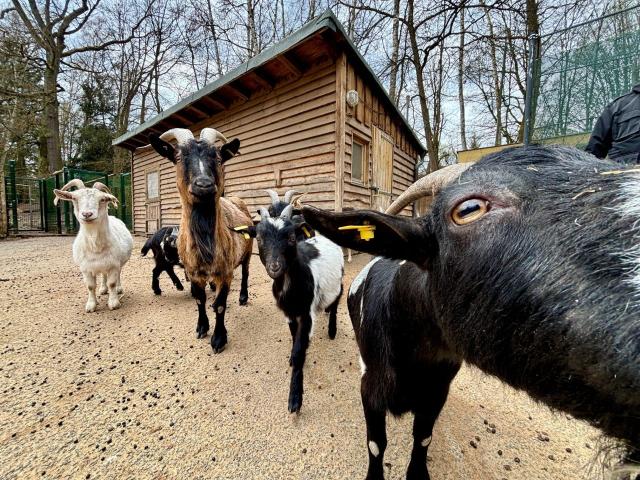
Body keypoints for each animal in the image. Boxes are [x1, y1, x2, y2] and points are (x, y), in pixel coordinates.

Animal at [54, 179, 133, 312]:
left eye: (103, 199)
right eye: (74, 198)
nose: (87, 214)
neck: (95, 247)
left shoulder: (114, 265)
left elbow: (112, 283)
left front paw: (114, 303)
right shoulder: (85, 268)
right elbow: (90, 286)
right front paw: (91, 305)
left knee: (118, 275)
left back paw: (118, 289)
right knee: (103, 276)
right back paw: (103, 289)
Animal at [149, 128, 252, 353]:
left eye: (218, 157)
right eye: (179, 157)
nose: (204, 184)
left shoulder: (225, 272)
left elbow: (221, 304)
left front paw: (219, 339)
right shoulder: (194, 273)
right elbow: (199, 299)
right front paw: (202, 327)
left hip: (247, 253)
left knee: (246, 273)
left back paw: (243, 297)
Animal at [238, 204, 344, 413]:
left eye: (292, 238)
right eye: (259, 238)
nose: (275, 267)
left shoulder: (306, 313)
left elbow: (299, 349)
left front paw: (295, 398)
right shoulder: (289, 312)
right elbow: (295, 340)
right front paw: (295, 362)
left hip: (337, 282)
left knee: (337, 299)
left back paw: (332, 329)